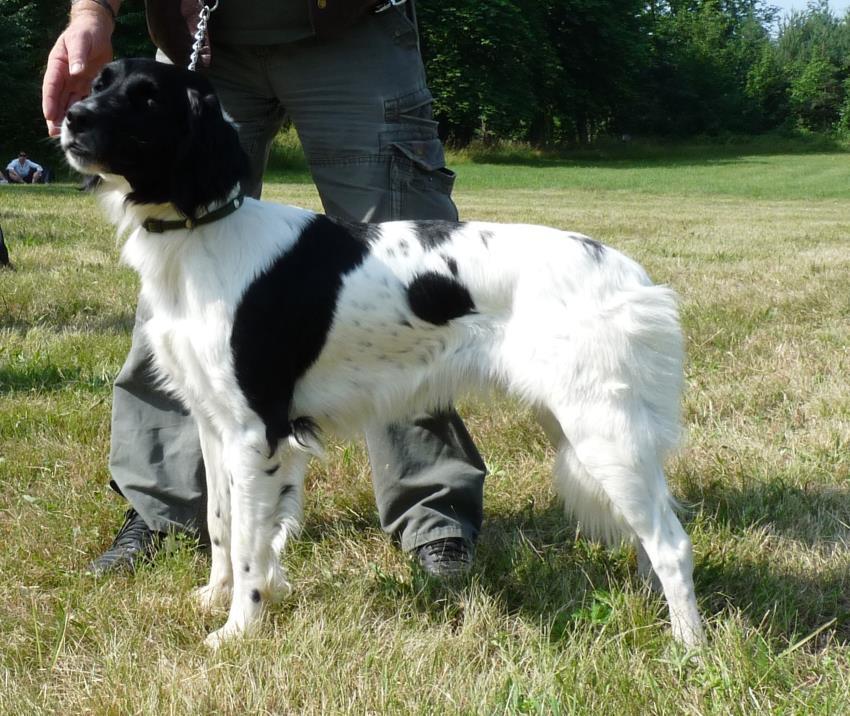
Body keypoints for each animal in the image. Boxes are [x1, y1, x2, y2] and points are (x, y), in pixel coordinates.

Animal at [63, 58, 704, 648]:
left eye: (148, 98)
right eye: (99, 83)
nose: (72, 117)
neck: (203, 234)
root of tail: (633, 277)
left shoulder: (256, 431)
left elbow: (249, 540)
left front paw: (239, 628)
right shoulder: (214, 421)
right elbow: (223, 523)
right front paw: (215, 596)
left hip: (601, 428)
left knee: (671, 540)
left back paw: (689, 647)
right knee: (649, 536)